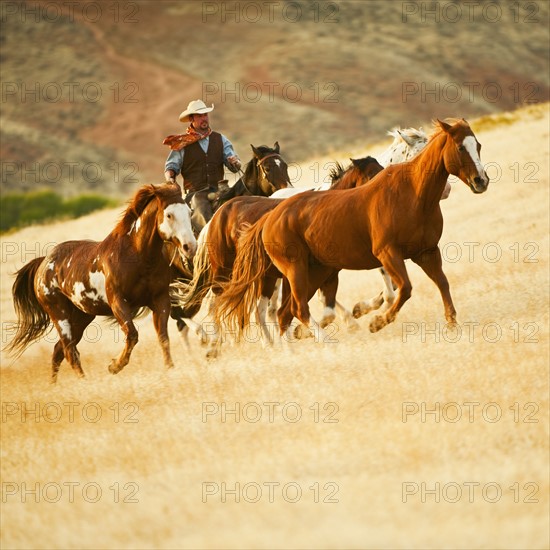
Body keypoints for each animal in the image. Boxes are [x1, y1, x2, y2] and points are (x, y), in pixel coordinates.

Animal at [4, 183, 196, 382]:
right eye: (169, 215)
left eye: (189, 212)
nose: (190, 247)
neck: (137, 256)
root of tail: (43, 263)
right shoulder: (118, 302)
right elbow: (132, 334)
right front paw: (114, 366)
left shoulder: (160, 300)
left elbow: (163, 337)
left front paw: (170, 369)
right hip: (59, 314)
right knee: (69, 350)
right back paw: (83, 382)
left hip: (81, 316)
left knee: (59, 350)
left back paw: (55, 384)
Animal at [216, 121, 492, 340]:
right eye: (460, 147)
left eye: (478, 145)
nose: (481, 181)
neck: (414, 194)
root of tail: (268, 217)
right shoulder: (386, 253)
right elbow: (400, 290)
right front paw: (374, 320)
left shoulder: (425, 252)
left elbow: (437, 284)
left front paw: (452, 325)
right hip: (289, 273)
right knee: (276, 310)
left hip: (309, 271)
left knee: (285, 311)